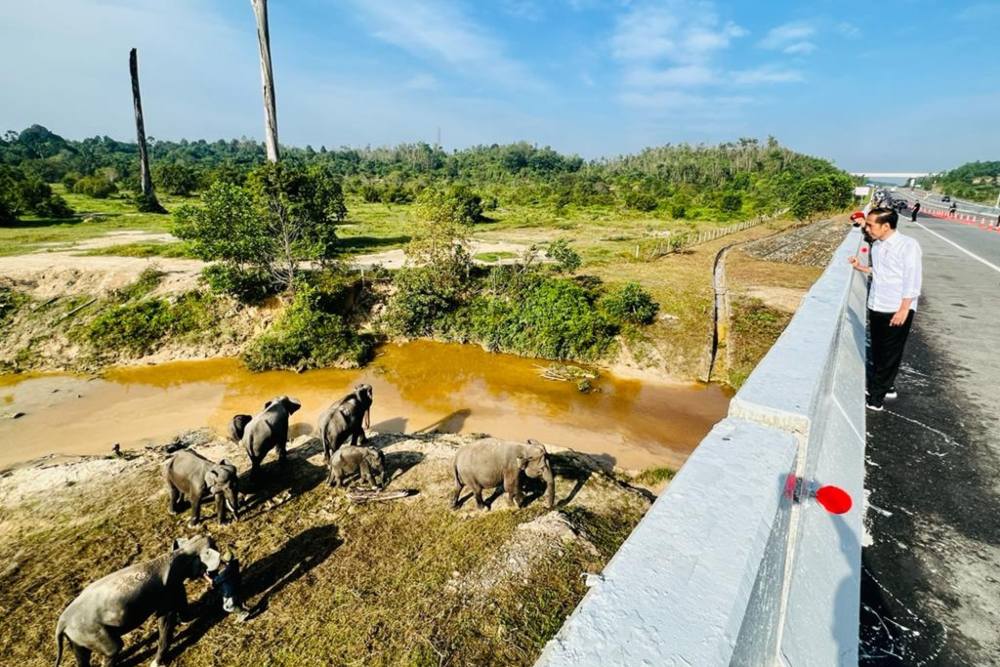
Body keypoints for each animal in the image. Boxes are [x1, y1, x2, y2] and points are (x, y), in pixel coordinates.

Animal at [52, 536, 221, 667]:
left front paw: (194, 615)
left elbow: (182, 605)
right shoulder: (166, 591)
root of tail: (61, 623)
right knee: (114, 649)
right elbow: (166, 621)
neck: (180, 552)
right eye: (214, 547)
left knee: (82, 656)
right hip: (92, 631)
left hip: (77, 636)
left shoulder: (175, 586)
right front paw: (156, 664)